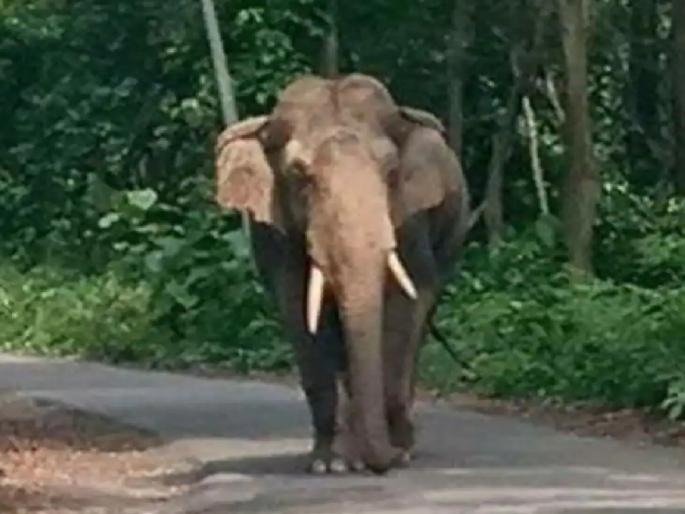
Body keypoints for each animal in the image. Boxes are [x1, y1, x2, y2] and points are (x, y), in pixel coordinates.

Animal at [214, 73, 470, 474]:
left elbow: (405, 304)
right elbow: (299, 310)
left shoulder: (409, 218)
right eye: (298, 174)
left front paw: (394, 455)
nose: (386, 461)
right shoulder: (276, 231)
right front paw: (328, 463)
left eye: (391, 171)